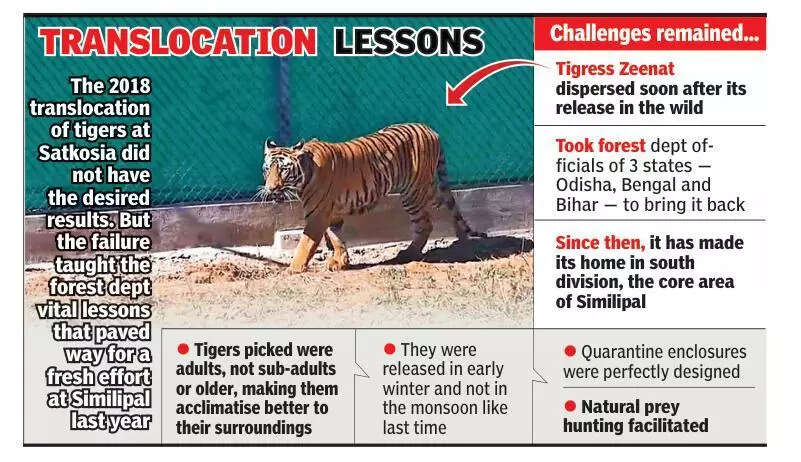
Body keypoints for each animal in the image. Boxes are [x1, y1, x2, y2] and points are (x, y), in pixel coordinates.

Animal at [258, 123, 485, 274]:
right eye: (267, 169)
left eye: (283, 170)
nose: (271, 188)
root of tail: (431, 130)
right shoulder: (331, 212)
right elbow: (336, 237)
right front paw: (340, 262)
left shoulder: (318, 215)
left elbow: (305, 244)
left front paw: (293, 268)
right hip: (423, 187)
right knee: (445, 198)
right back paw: (458, 233)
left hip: (413, 191)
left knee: (426, 223)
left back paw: (409, 253)